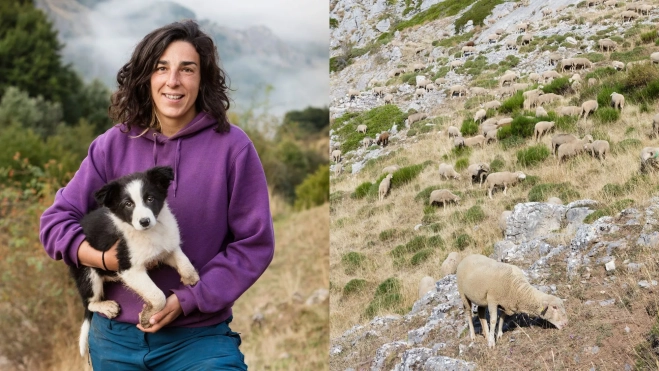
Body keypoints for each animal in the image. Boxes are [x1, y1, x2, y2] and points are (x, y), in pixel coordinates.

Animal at [70, 166, 199, 358]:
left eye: (150, 199)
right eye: (128, 204)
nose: (144, 221)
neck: (150, 232)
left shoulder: (164, 248)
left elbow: (184, 261)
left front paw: (190, 279)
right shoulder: (129, 268)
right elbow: (157, 295)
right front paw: (148, 315)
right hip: (88, 273)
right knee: (90, 303)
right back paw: (107, 306)